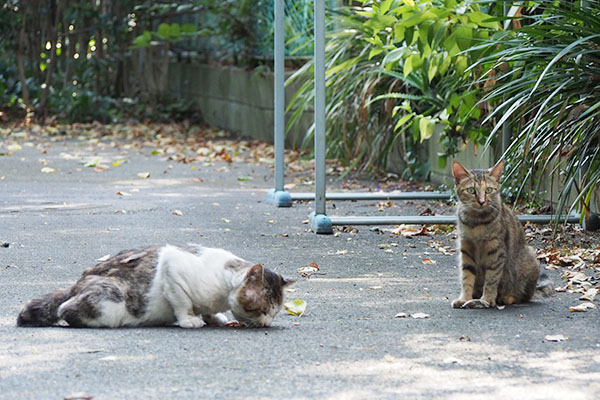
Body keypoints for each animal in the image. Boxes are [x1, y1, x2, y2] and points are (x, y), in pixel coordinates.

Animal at [19, 244, 296, 328]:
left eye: (275, 312)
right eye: (262, 310)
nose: (268, 323)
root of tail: (78, 281)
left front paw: (214, 317)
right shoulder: (172, 267)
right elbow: (183, 302)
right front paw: (190, 320)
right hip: (109, 302)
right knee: (65, 309)